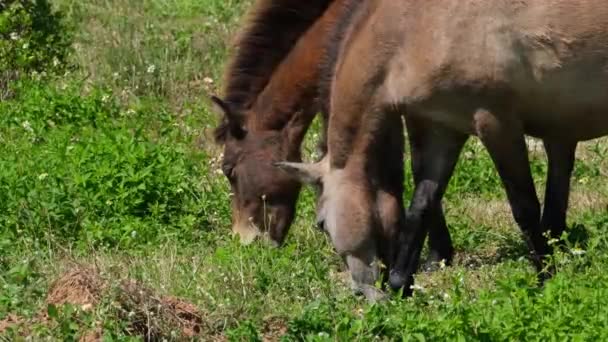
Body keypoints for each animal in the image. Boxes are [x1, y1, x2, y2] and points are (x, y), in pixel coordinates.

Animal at [276, 0, 608, 300]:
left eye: (320, 224)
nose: (361, 292)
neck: (415, 28)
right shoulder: (444, 130)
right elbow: (421, 205)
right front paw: (401, 285)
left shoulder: (497, 125)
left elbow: (524, 208)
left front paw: (546, 279)